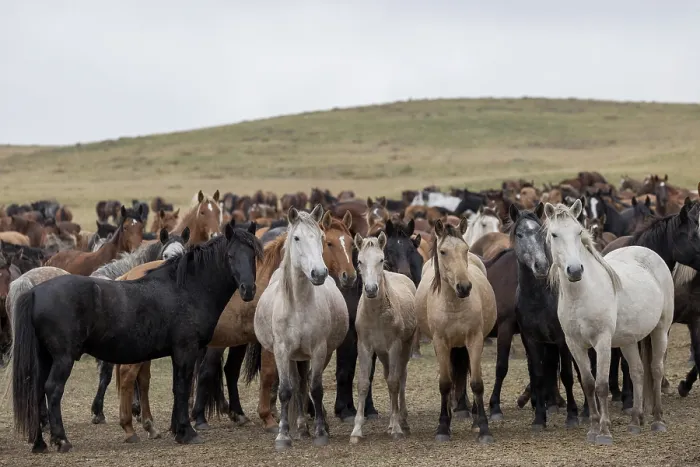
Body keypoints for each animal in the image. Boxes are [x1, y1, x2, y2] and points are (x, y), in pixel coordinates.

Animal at [6, 221, 261, 453]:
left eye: (253, 255)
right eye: (230, 255)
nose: (248, 289)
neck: (186, 289)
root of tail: (34, 291)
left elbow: (177, 388)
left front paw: (178, 430)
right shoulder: (186, 351)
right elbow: (182, 388)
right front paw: (187, 432)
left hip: (44, 358)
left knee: (37, 391)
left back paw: (39, 443)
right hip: (62, 359)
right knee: (52, 390)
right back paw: (61, 440)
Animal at [254, 205, 349, 449]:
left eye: (321, 238)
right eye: (296, 238)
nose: (319, 273)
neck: (298, 305)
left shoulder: (318, 350)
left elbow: (315, 388)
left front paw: (321, 432)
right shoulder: (281, 351)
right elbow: (285, 390)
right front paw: (283, 436)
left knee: (306, 383)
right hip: (291, 356)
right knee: (297, 385)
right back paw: (301, 427)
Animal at [349, 232, 416, 443]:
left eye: (380, 259)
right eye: (359, 261)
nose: (371, 289)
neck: (376, 315)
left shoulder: (395, 346)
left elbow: (394, 382)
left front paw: (396, 428)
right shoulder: (364, 347)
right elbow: (363, 383)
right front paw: (356, 431)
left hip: (405, 346)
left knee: (401, 377)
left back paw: (402, 420)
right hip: (383, 353)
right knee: (389, 376)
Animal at [414, 218, 497, 443]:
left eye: (465, 249)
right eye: (443, 252)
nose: (464, 287)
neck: (454, 305)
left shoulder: (475, 340)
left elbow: (477, 383)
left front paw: (483, 427)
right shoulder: (440, 343)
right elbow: (444, 383)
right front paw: (443, 427)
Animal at [544, 200, 673, 445]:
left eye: (578, 232)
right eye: (554, 235)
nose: (575, 270)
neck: (582, 294)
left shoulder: (602, 342)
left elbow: (602, 385)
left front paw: (604, 432)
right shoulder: (574, 344)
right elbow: (588, 384)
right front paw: (593, 428)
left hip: (660, 330)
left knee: (656, 369)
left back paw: (658, 421)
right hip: (628, 340)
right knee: (638, 371)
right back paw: (635, 421)